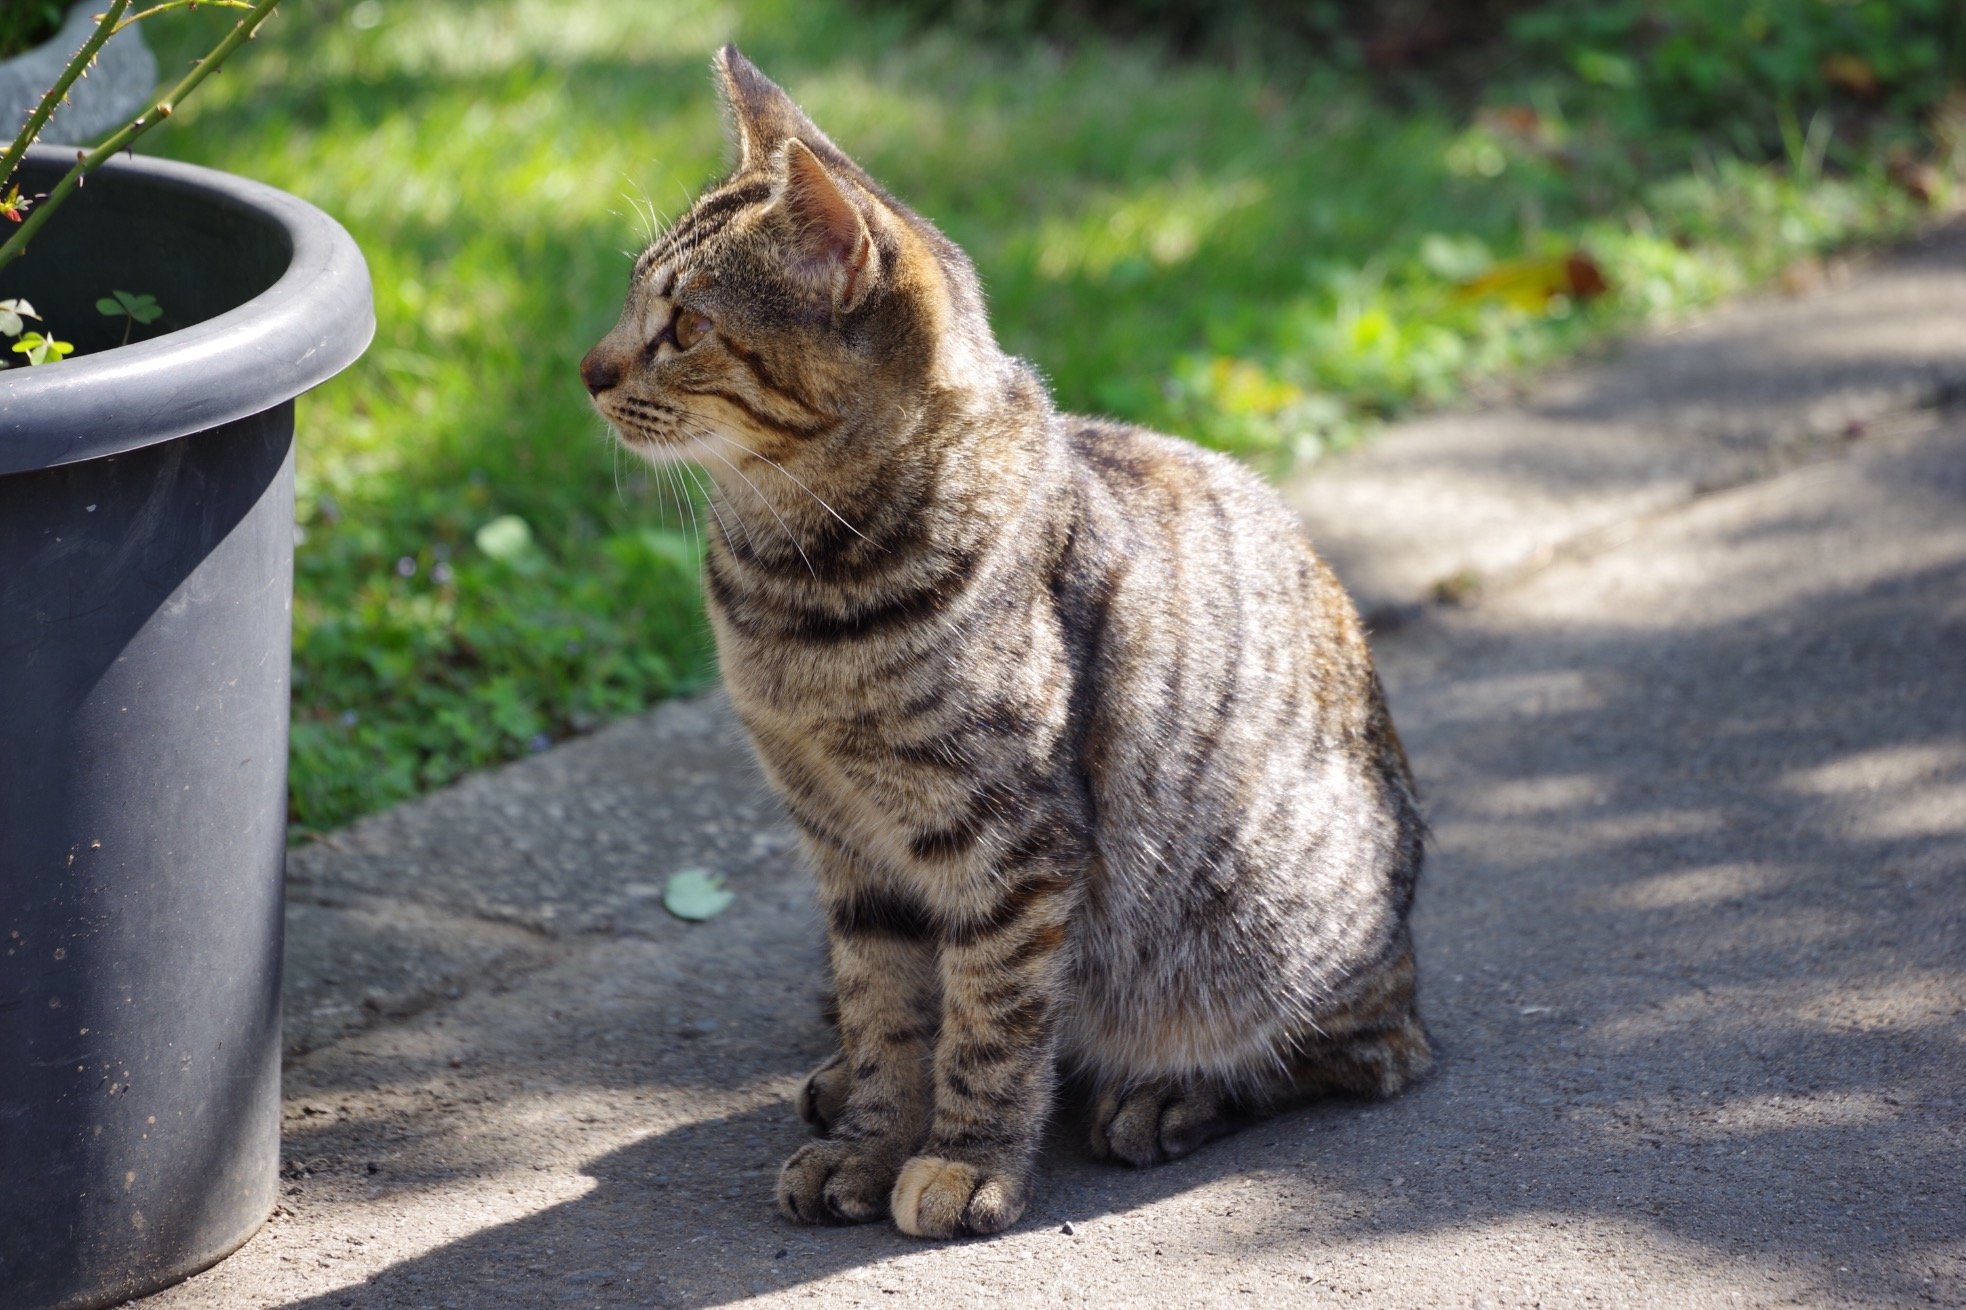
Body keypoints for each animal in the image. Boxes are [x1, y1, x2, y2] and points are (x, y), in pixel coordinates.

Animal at [578, 48, 1431, 1235]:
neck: (793, 591)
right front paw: (871, 1134)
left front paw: (962, 1157)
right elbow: (885, 1009)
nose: (587, 369)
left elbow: (993, 1020)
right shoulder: (846, 846)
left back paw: (1165, 1093)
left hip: (1268, 923)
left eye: (686, 326)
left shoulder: (1009, 845)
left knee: (1366, 1051)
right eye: (629, 299)